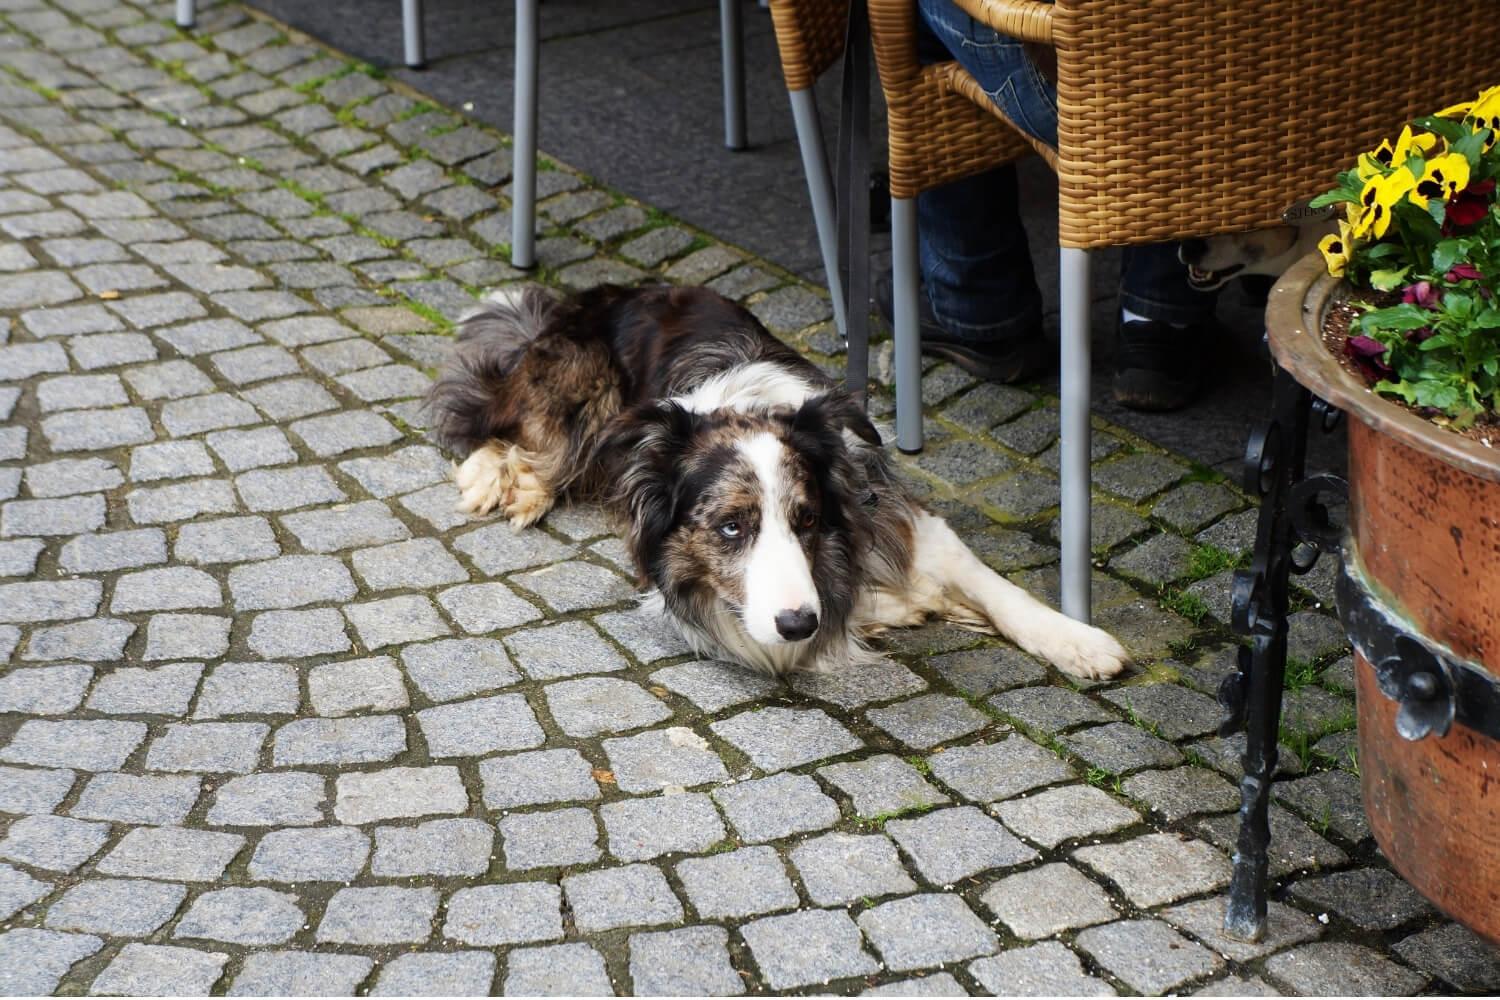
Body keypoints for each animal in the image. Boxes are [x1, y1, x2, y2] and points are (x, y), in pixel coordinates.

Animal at [423, 284, 1128, 683]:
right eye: (731, 527)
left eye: (808, 519)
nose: (796, 623)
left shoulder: (906, 519)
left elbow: (1000, 590)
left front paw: (1077, 641)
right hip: (581, 396)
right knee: (500, 423)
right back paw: (506, 481)